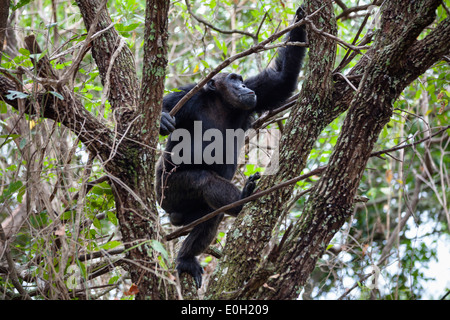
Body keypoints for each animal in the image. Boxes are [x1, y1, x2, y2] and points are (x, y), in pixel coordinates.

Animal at [156, 5, 308, 288]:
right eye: (233, 78)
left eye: (242, 80)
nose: (243, 85)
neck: (221, 102)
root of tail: (172, 215)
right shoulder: (187, 96)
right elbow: (157, 108)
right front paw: (161, 118)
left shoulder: (257, 93)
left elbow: (280, 80)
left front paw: (303, 15)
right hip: (166, 190)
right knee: (203, 181)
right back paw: (240, 200)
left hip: (190, 211)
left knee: (211, 214)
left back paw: (186, 258)